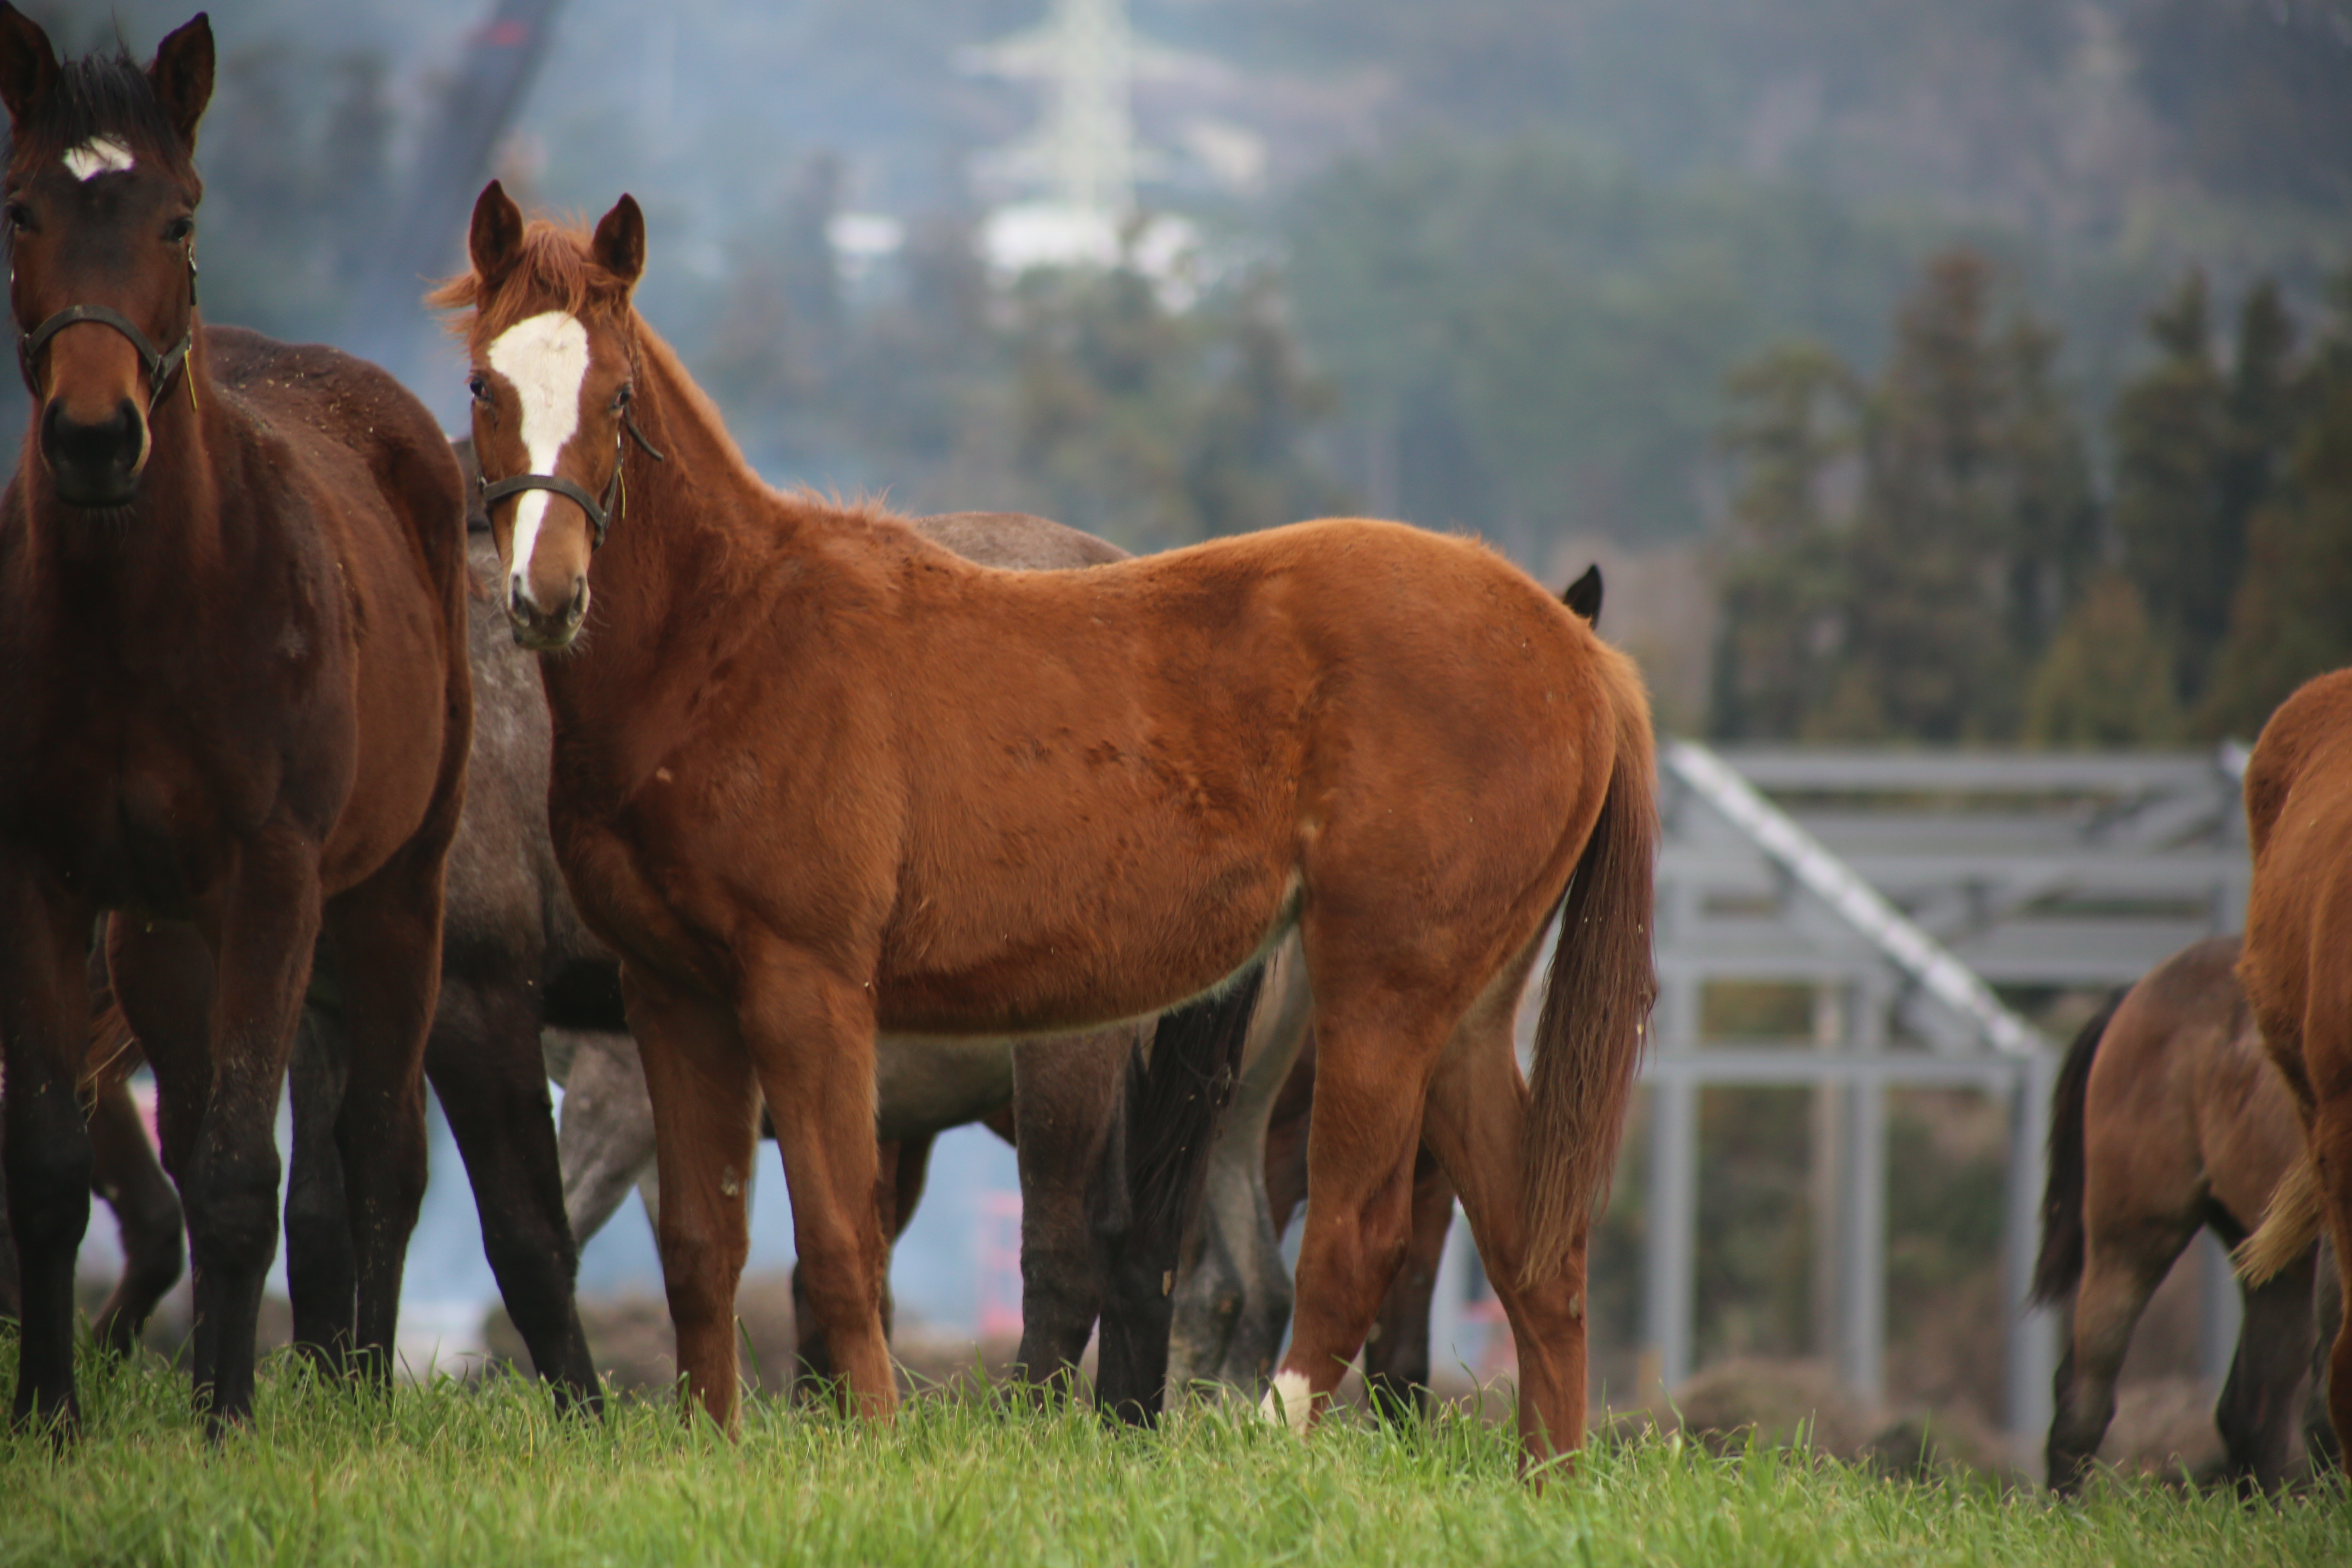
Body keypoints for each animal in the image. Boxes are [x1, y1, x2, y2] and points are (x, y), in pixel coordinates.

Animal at [0, 12, 472, 1439]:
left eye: (178, 217)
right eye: (23, 206)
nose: (96, 437)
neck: (143, 615)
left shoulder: (276, 872)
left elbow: (240, 1170)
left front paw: (227, 1426)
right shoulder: (44, 870)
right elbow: (55, 1158)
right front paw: (52, 1412)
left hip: (395, 889)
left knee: (376, 1143)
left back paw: (358, 1391)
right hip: (164, 939)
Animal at [442, 184, 1656, 1476]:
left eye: (617, 395)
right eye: (482, 386)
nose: (546, 596)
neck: (733, 642)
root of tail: (1571, 648)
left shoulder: (806, 987)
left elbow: (837, 1245)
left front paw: (875, 1444)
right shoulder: (673, 998)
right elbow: (699, 1245)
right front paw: (713, 1445)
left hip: (1380, 994)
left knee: (1354, 1239)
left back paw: (1263, 1442)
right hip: (1466, 1014)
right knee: (1535, 1247)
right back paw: (1543, 1476)